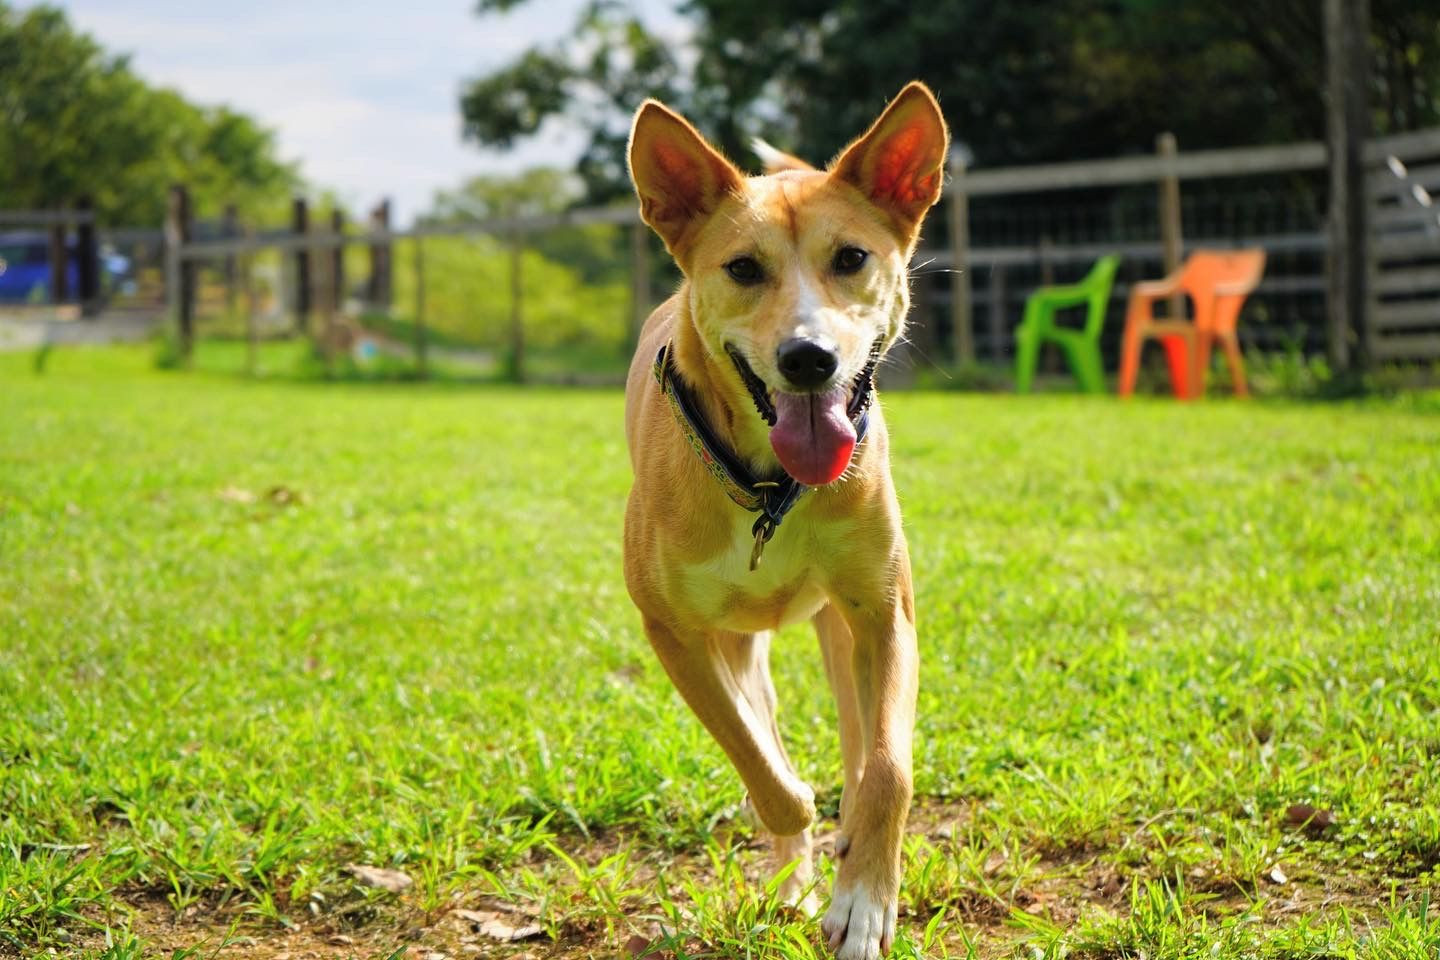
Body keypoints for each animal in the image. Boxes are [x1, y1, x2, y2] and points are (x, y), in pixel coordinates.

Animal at [622, 82, 948, 960]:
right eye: (743, 268)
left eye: (852, 258)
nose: (809, 359)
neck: (771, 486)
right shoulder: (672, 632)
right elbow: (759, 764)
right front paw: (797, 845)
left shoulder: (885, 610)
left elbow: (887, 769)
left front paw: (864, 898)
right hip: (736, 638)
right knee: (762, 720)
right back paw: (794, 870)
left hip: (841, 622)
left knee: (858, 733)